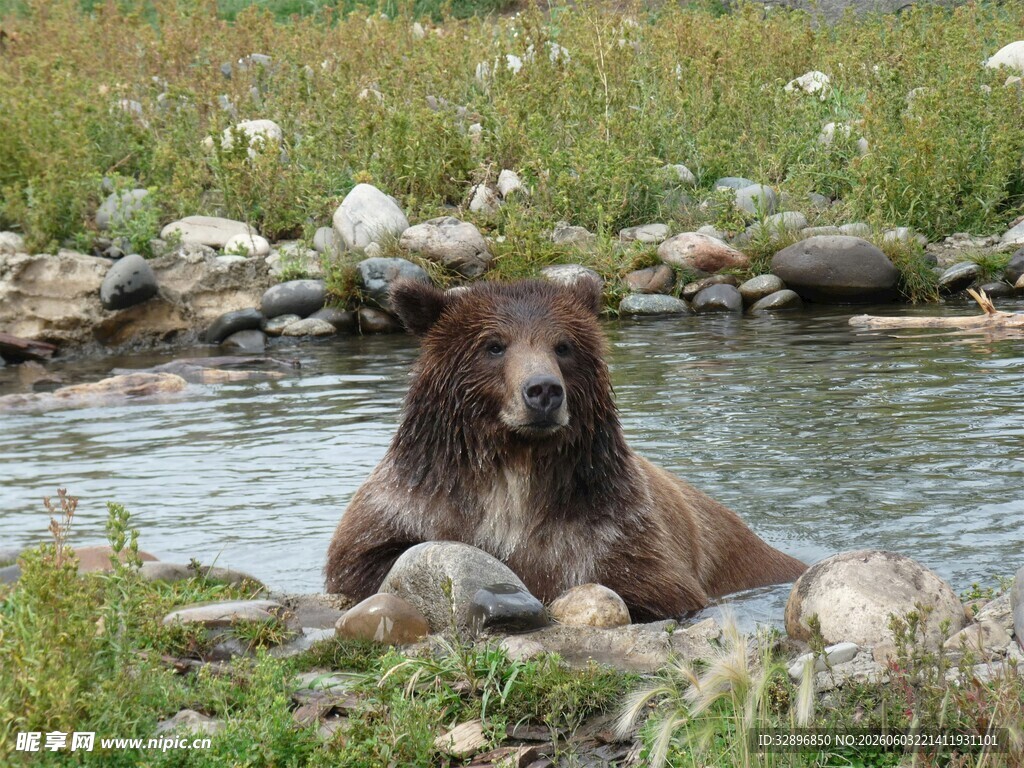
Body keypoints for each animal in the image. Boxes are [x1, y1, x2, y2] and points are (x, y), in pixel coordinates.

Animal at [325, 278, 806, 621]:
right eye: (494, 345)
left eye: (563, 346)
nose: (543, 390)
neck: (515, 466)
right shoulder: (415, 502)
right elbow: (376, 562)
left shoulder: (610, 527)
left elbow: (645, 588)